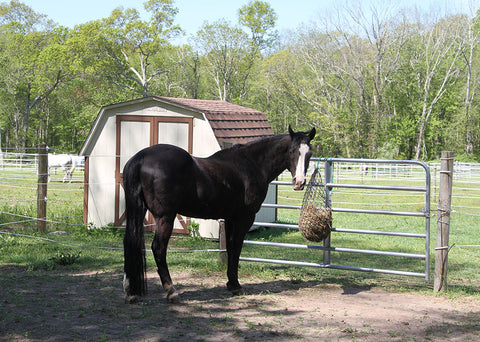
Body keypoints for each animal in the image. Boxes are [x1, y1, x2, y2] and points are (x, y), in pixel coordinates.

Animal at [124, 125, 316, 302]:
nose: (299, 182)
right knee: (158, 248)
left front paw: (231, 283)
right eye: (291, 151)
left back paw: (130, 291)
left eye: (309, 154)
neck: (251, 165)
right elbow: (236, 247)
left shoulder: (230, 218)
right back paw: (171, 291)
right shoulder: (244, 218)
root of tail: (141, 158)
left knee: (131, 240)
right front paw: (236, 286)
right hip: (165, 217)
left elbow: (230, 248)